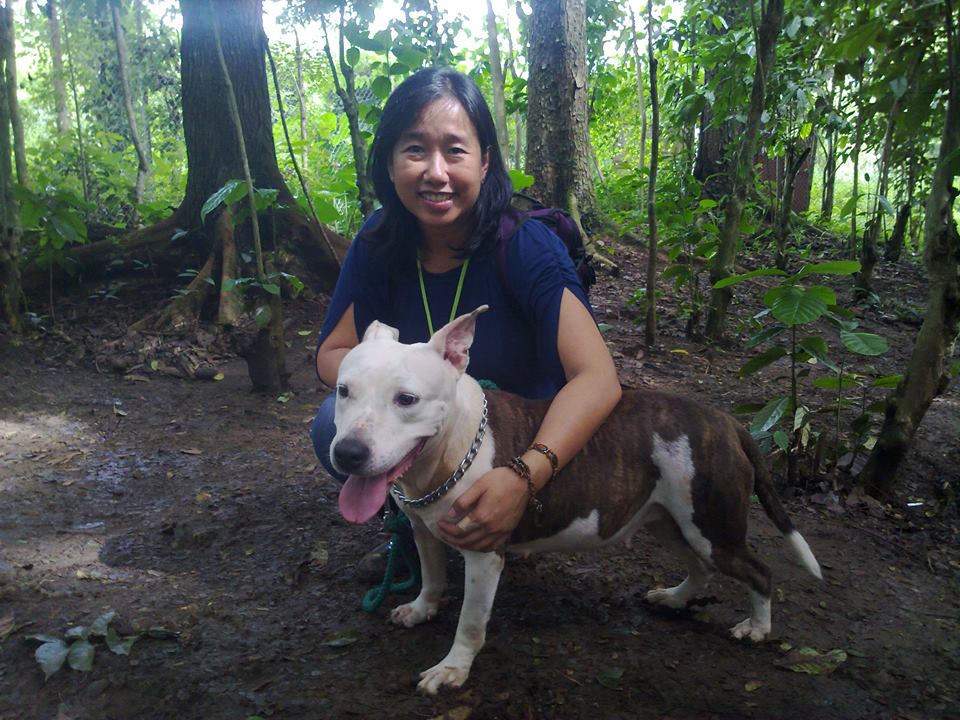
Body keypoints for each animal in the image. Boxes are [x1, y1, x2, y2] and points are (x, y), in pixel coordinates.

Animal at [330, 306, 816, 696]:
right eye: (343, 390)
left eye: (407, 399)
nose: (348, 453)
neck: (450, 449)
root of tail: (727, 421)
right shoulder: (422, 529)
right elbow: (431, 576)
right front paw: (421, 609)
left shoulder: (484, 555)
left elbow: (470, 621)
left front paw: (453, 669)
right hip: (669, 520)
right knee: (700, 566)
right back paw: (675, 599)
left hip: (713, 527)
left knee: (758, 572)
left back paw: (757, 627)